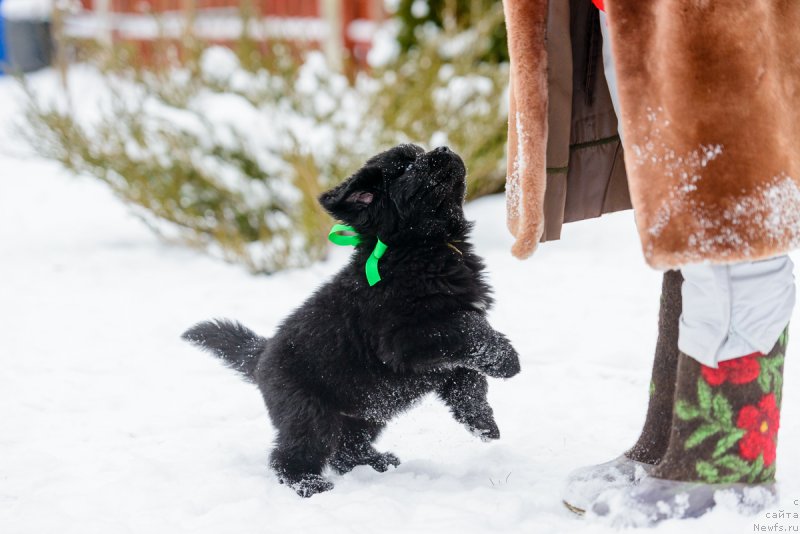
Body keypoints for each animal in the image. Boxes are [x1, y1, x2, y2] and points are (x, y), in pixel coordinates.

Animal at [183, 143, 520, 498]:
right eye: (404, 167)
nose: (443, 147)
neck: (418, 249)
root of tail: (260, 356)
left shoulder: (443, 358)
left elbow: (469, 380)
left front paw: (482, 423)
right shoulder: (405, 339)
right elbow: (469, 330)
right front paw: (508, 362)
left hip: (365, 411)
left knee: (345, 448)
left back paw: (376, 463)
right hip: (309, 413)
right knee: (289, 456)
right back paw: (311, 485)